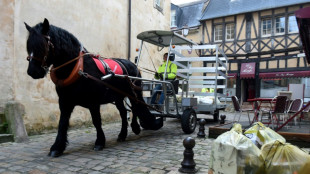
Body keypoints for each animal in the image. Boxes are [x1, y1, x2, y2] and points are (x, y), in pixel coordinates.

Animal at [24, 18, 162, 157]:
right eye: (28, 46)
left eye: (42, 45)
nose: (32, 72)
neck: (78, 69)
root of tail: (133, 65)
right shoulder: (65, 102)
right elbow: (62, 123)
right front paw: (57, 147)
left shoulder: (93, 102)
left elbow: (96, 121)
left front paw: (100, 141)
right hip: (118, 97)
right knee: (124, 112)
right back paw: (122, 134)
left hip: (132, 93)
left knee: (135, 107)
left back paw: (135, 127)